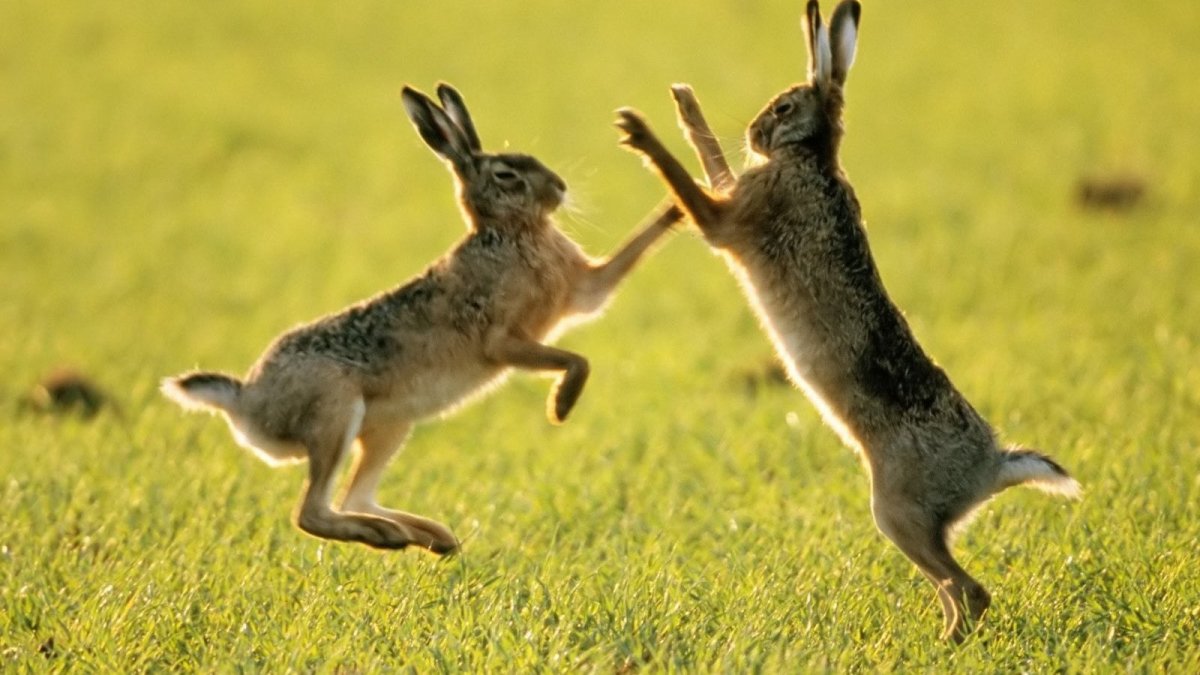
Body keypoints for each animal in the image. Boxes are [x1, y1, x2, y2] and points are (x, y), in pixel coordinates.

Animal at [162, 83, 680, 555]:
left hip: (389, 428)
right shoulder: (503, 340)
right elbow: (575, 359)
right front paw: (561, 407)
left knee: (354, 497)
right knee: (312, 511)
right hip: (335, 413)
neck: (509, 233)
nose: (560, 187)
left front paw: (679, 204)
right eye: (506, 174)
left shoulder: (584, 289)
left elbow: (630, 253)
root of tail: (247, 402)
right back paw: (390, 537)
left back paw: (429, 537)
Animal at [613, 0, 1080, 642]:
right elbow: (712, 163)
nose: (756, 132)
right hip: (913, 522)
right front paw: (685, 102)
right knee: (952, 587)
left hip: (896, 512)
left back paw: (946, 647)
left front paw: (639, 130)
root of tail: (993, 467)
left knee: (969, 590)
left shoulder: (731, 220)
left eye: (784, 108)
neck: (811, 159)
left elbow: (692, 185)